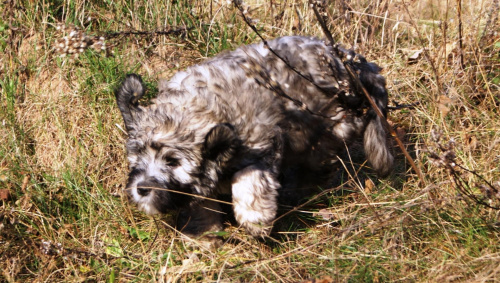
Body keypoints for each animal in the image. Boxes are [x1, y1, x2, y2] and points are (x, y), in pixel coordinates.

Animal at [115, 36, 392, 239]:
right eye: (138, 155)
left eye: (173, 162)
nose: (142, 188)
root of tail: (346, 59)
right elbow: (200, 201)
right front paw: (201, 230)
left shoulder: (262, 144)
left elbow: (249, 180)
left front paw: (255, 218)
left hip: (330, 128)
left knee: (320, 161)